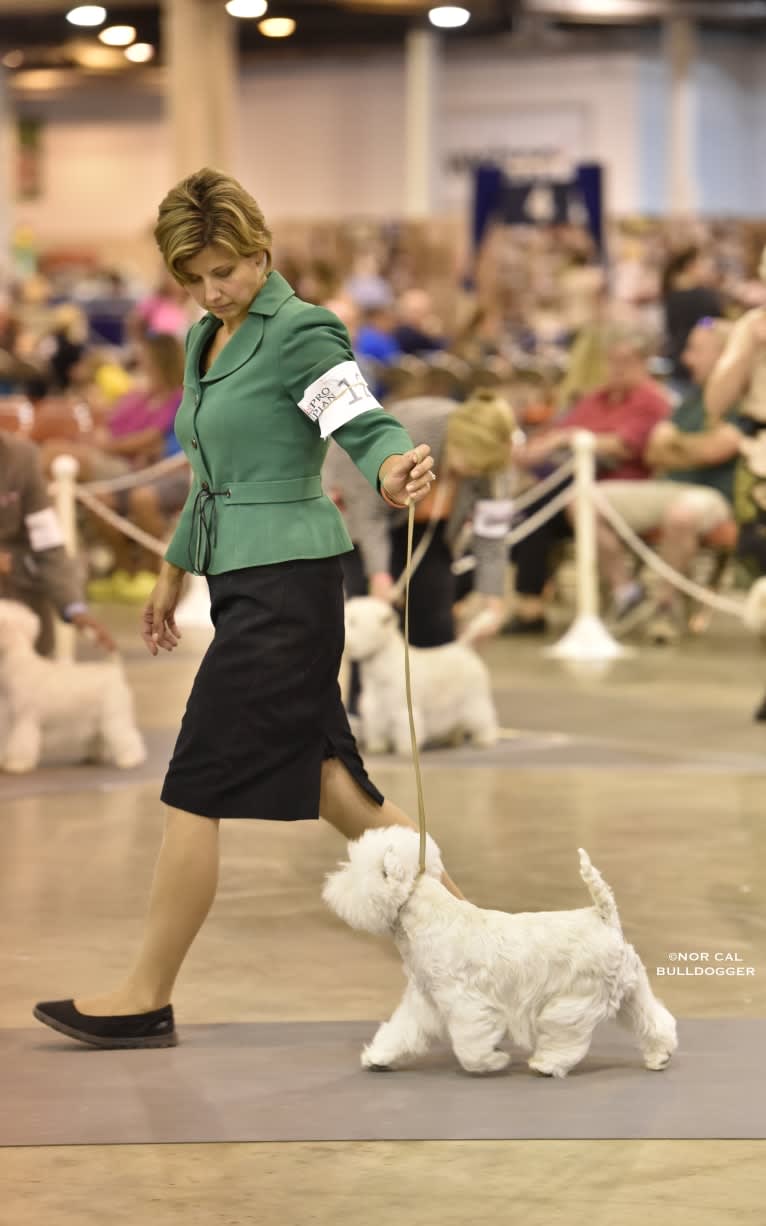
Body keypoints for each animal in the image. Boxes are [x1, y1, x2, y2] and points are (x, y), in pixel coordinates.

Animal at [0, 598, 146, 769]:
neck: (16, 662)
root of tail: (113, 669)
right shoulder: (8, 719)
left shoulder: (24, 720)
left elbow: (20, 744)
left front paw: (16, 764)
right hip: (97, 719)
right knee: (99, 737)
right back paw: (94, 757)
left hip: (114, 716)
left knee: (127, 736)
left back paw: (130, 759)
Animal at [321, 828, 676, 1078]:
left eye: (356, 871)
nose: (330, 887)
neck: (425, 918)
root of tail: (604, 916)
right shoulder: (425, 1000)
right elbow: (401, 1031)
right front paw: (378, 1058)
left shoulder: (466, 1003)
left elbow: (469, 1045)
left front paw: (492, 1060)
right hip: (630, 992)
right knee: (654, 1021)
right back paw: (660, 1056)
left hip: (573, 1001)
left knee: (567, 1038)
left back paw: (546, 1064)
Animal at [340, 595, 495, 755]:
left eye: (353, 621)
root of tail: (464, 647)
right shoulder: (375, 707)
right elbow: (376, 727)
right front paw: (377, 746)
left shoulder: (403, 708)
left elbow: (404, 729)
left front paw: (405, 749)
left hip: (473, 699)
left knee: (484, 717)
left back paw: (485, 739)